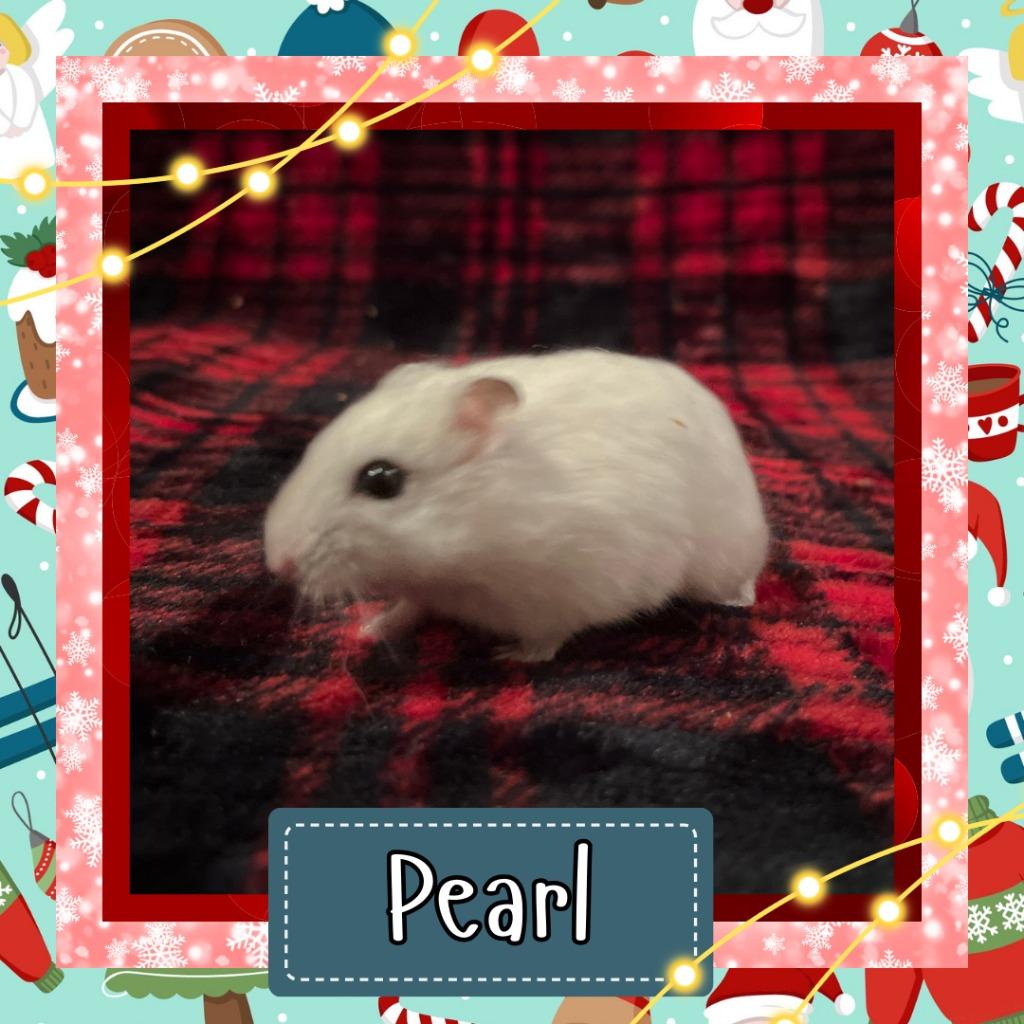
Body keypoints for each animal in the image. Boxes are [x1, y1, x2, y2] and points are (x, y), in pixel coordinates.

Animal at [265, 349, 770, 662]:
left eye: (382, 479)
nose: (277, 564)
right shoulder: (426, 588)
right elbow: (408, 607)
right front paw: (369, 629)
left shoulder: (568, 593)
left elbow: (547, 638)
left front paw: (508, 657)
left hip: (725, 554)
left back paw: (740, 601)